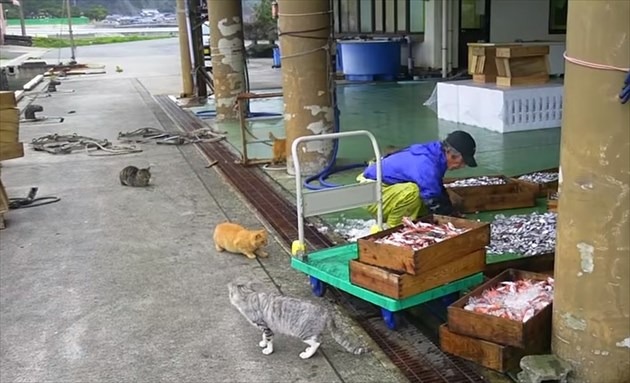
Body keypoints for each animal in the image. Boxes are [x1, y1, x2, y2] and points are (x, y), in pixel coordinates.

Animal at [230, 280, 372, 360]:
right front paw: (263, 342)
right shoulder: (267, 326)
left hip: (304, 333)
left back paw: (307, 354)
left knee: (317, 343)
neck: (248, 296)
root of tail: (325, 310)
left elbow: (269, 339)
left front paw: (268, 349)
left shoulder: (265, 326)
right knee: (318, 339)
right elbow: (264, 336)